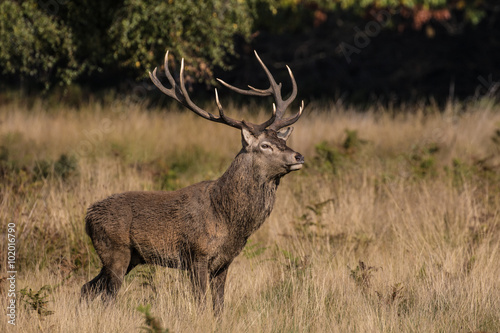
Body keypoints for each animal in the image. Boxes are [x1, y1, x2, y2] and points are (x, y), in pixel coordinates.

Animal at [81, 50, 304, 314]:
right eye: (265, 145)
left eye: (282, 141)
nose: (298, 156)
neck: (228, 220)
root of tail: (87, 217)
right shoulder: (196, 254)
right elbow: (200, 303)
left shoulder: (224, 262)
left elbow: (219, 307)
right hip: (115, 250)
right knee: (107, 296)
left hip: (130, 257)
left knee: (87, 288)